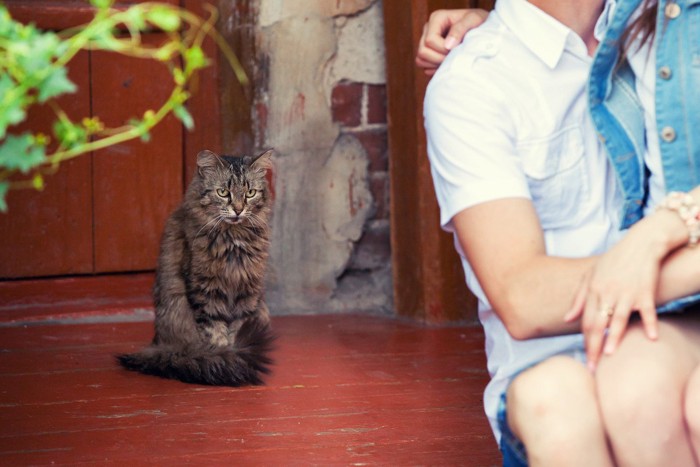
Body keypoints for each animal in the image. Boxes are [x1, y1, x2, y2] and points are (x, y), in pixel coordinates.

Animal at [117, 148, 274, 386]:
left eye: (250, 193)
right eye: (223, 192)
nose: (238, 210)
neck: (233, 241)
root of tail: (159, 344)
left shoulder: (247, 292)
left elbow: (237, 329)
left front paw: (236, 358)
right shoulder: (205, 291)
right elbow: (216, 333)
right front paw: (226, 359)